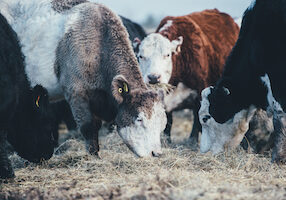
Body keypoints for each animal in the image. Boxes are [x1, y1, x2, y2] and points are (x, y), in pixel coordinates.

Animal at [134, 9, 239, 145]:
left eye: (167, 55)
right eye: (141, 56)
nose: (153, 77)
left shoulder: (200, 92)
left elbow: (198, 118)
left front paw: (193, 141)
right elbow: (168, 120)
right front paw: (166, 140)